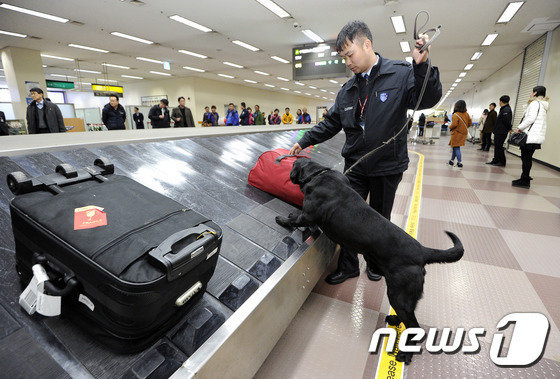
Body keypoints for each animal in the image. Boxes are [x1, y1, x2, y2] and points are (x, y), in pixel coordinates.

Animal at [276, 158, 464, 366]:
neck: (320, 174)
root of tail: (422, 251)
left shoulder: (308, 214)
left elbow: (295, 219)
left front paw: (282, 219)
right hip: (403, 297)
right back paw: (395, 320)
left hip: (399, 294)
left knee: (415, 327)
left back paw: (405, 354)